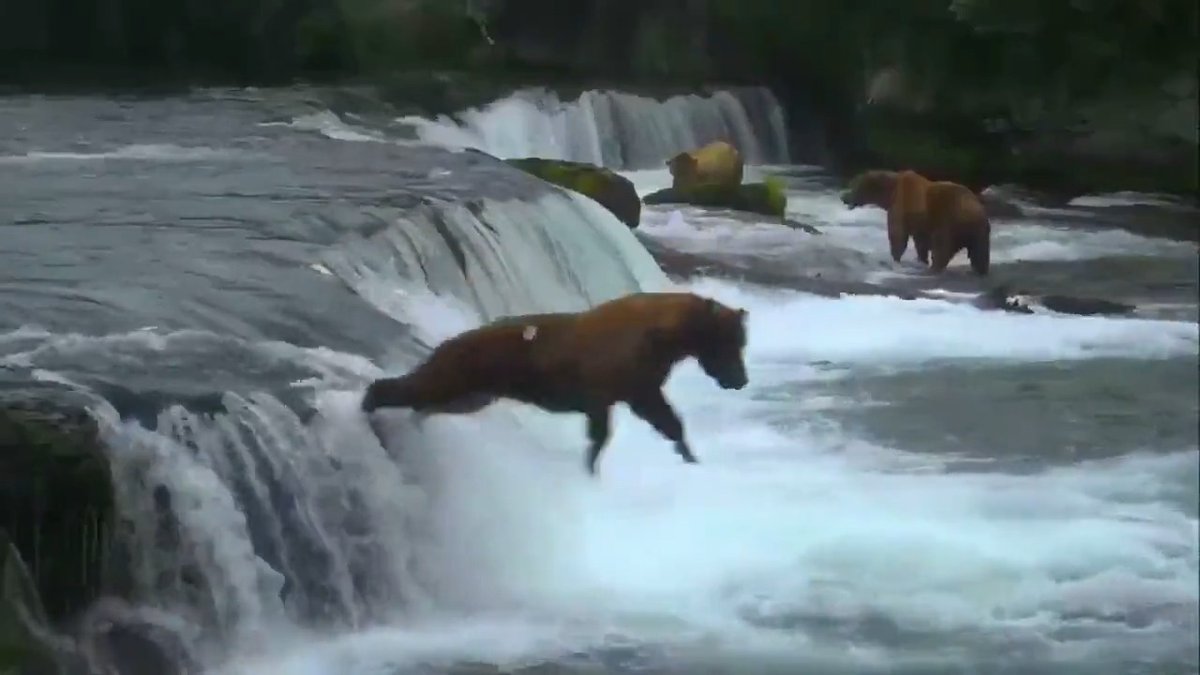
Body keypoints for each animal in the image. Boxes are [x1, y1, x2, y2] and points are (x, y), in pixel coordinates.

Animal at [361, 292, 750, 476]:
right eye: (730, 342)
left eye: (740, 343)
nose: (740, 380)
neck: (663, 336)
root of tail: (445, 342)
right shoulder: (606, 390)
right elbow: (602, 433)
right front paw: (590, 468)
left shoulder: (640, 389)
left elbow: (667, 421)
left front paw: (690, 456)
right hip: (457, 375)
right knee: (413, 388)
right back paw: (370, 406)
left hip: (476, 393)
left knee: (429, 404)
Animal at [841, 169, 991, 276]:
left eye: (854, 186)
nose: (843, 197)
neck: (890, 192)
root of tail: (978, 210)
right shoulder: (920, 223)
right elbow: (920, 242)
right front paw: (920, 260)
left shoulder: (901, 205)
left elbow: (898, 234)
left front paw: (895, 259)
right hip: (980, 230)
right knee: (980, 252)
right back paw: (980, 270)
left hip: (950, 219)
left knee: (942, 245)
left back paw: (934, 268)